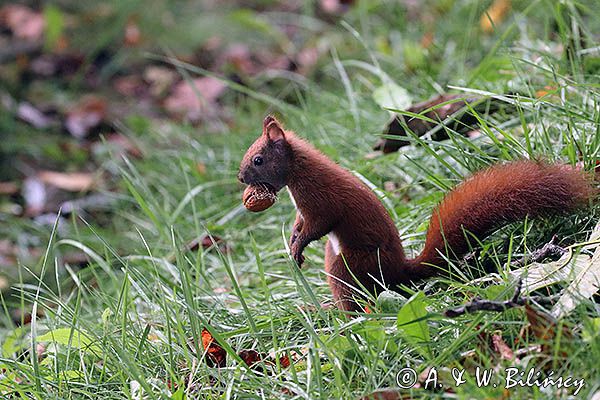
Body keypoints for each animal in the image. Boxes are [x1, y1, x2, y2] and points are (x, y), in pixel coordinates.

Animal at [238, 115, 592, 312]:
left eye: (257, 159)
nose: (240, 178)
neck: (300, 171)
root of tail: (399, 271)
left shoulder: (321, 200)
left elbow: (319, 225)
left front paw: (298, 247)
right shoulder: (305, 210)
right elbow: (301, 224)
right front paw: (293, 242)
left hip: (347, 263)